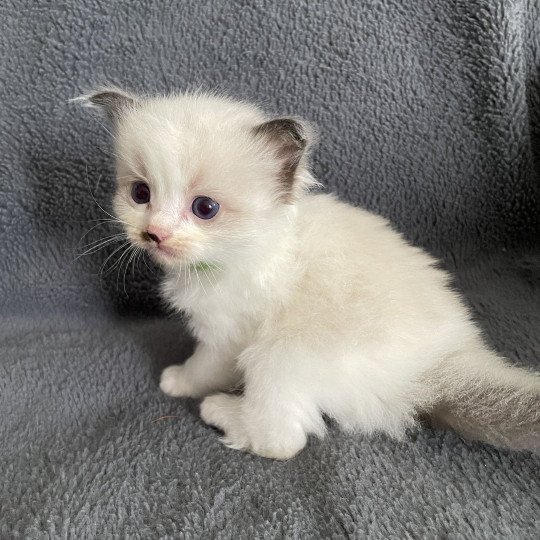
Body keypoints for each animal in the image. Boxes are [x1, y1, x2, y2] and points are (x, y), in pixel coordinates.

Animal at [81, 86, 540, 458]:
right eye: (141, 194)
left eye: (204, 208)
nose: (154, 234)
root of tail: (437, 368)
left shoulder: (227, 337)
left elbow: (204, 368)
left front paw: (178, 381)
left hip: (278, 354)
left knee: (282, 441)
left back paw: (222, 412)